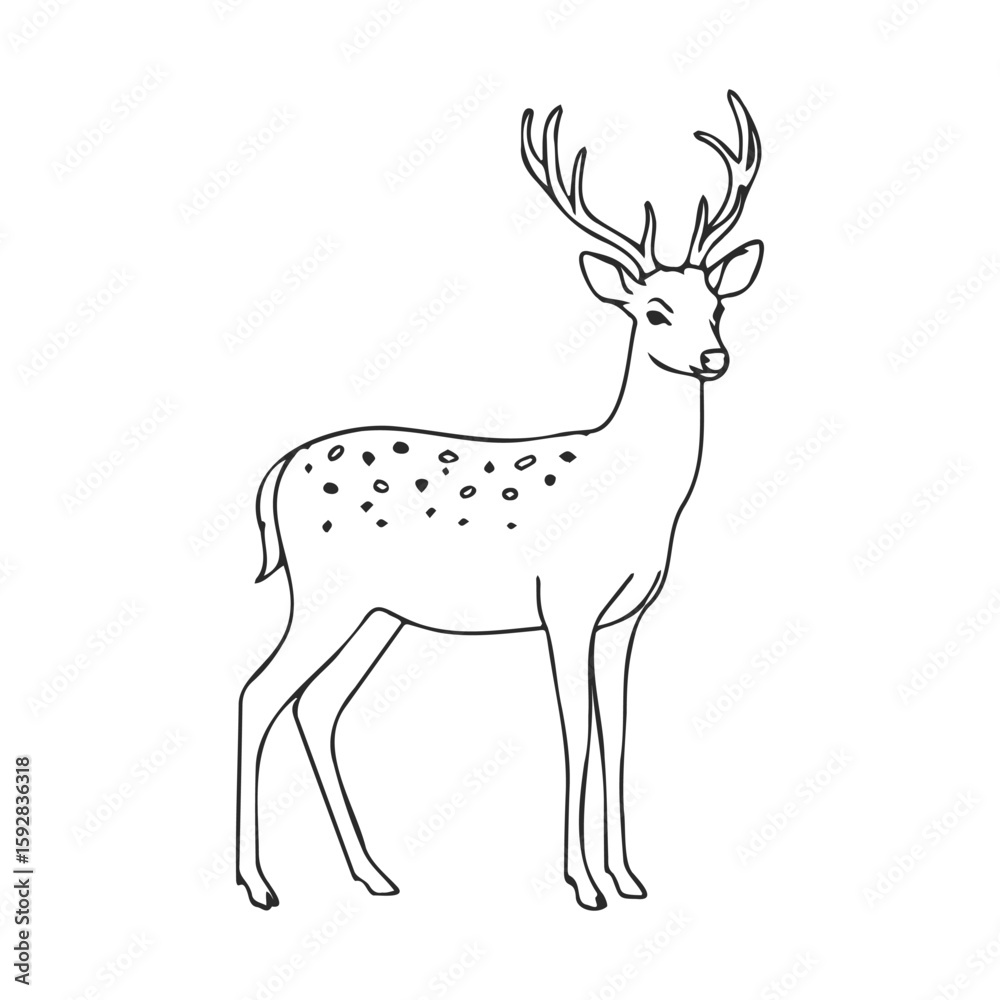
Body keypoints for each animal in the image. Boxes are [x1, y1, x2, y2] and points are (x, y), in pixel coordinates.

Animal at [236, 91, 764, 911]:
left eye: (715, 304)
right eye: (652, 311)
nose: (714, 357)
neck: (638, 496)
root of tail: (277, 472)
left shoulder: (624, 619)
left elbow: (616, 734)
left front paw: (629, 878)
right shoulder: (565, 605)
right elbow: (576, 735)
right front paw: (584, 884)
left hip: (378, 612)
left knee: (315, 707)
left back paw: (374, 874)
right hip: (323, 592)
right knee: (259, 694)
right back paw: (260, 885)